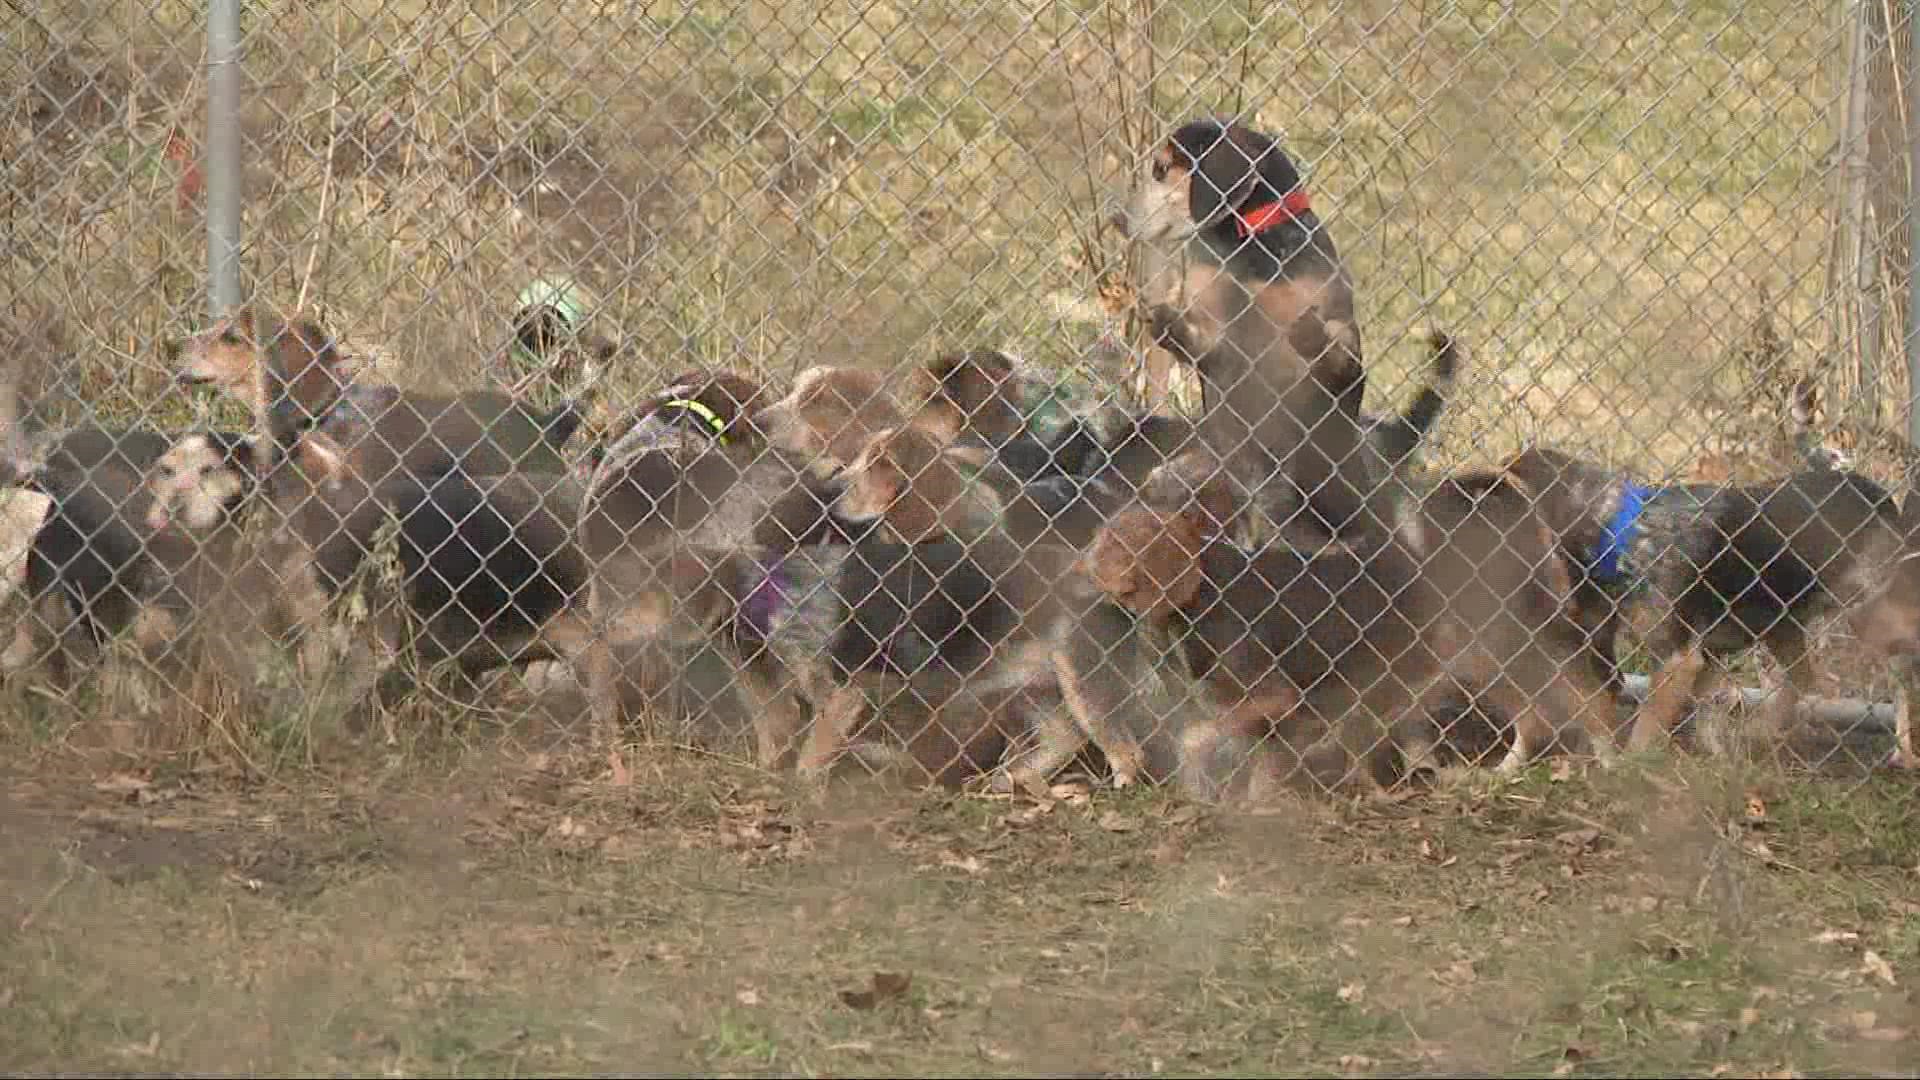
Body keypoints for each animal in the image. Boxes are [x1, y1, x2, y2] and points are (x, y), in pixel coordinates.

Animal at [1497, 441, 1920, 753]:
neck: (1622, 533)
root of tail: (1878, 494)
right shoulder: (1709, 652)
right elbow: (1698, 714)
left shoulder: (1678, 658)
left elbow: (1645, 731)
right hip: (1780, 626)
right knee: (1800, 679)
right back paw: (1766, 732)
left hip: (1872, 618)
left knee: (1899, 683)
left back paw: (1903, 753)